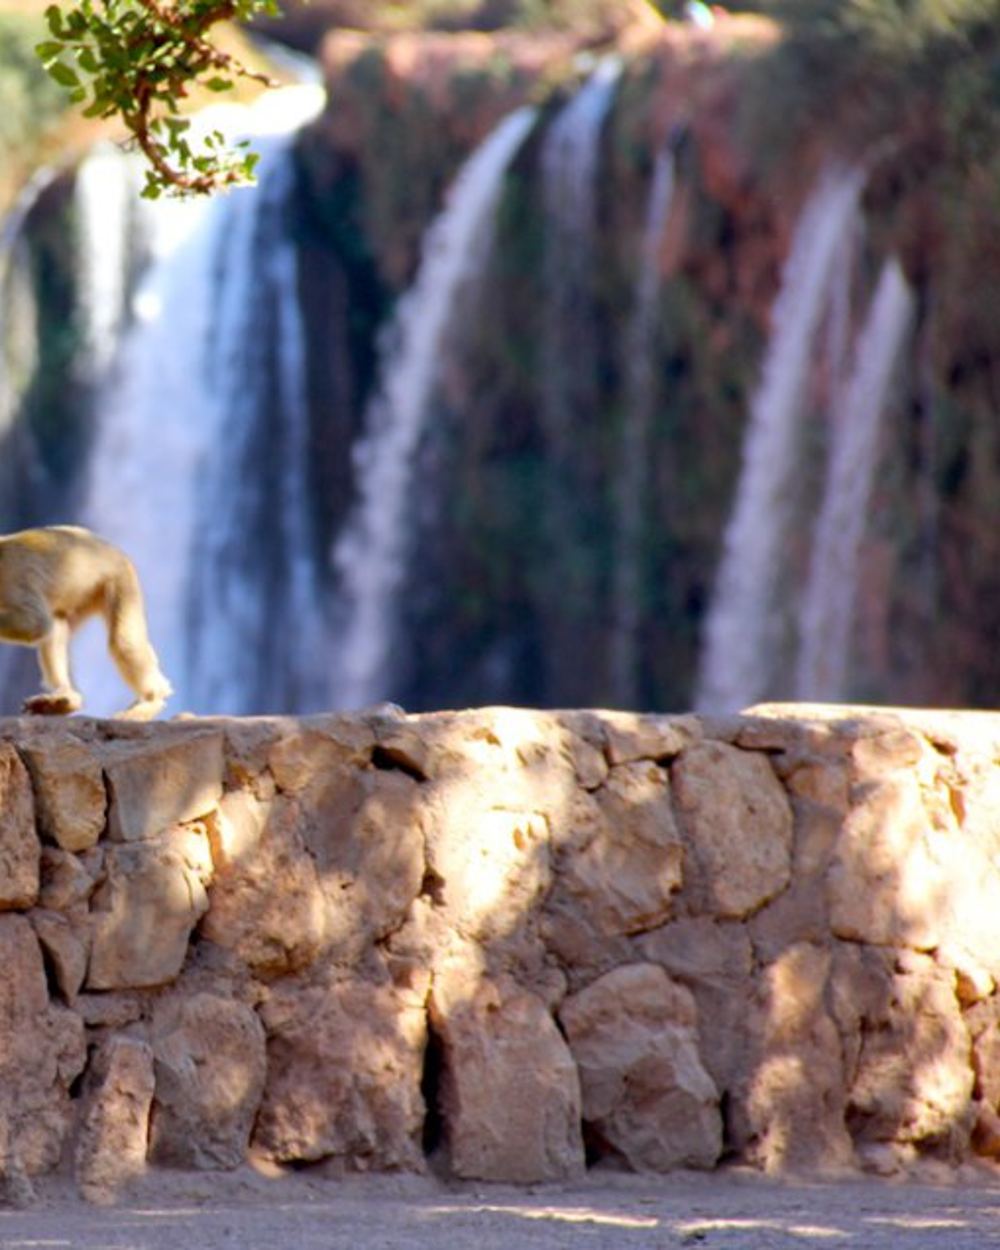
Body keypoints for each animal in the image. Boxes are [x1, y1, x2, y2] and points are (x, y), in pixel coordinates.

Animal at [0, 525, 172, 720]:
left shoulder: (12, 572)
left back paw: (152, 701)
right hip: (83, 597)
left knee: (124, 643)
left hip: (119, 577)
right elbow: (43, 626)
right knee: (57, 625)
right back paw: (66, 698)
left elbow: (36, 623)